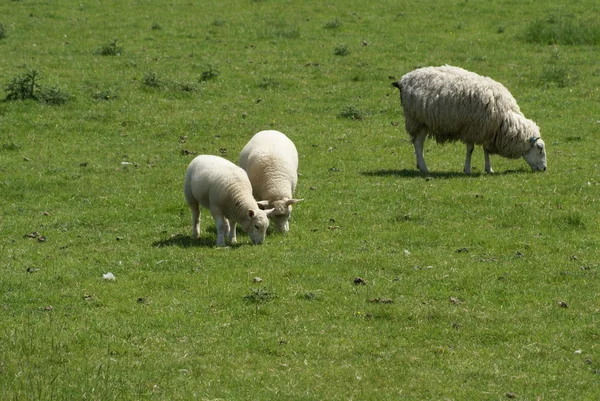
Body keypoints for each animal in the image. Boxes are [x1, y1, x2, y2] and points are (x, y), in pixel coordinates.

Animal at [392, 65, 548, 173]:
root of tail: (403, 80)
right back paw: (424, 168)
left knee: (417, 143)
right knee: (418, 144)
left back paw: (419, 165)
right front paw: (467, 169)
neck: (505, 118)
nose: (544, 169)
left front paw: (489, 169)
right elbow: (471, 149)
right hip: (418, 120)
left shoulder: (487, 130)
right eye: (540, 149)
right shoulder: (473, 128)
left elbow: (486, 150)